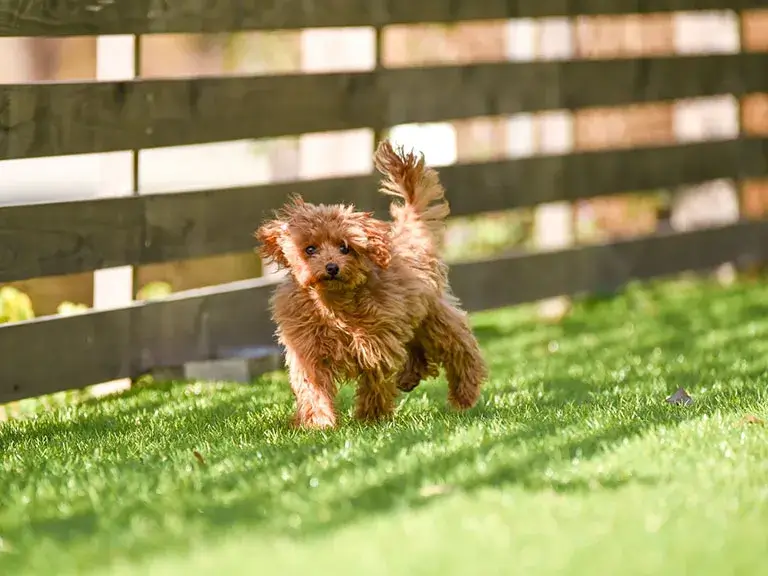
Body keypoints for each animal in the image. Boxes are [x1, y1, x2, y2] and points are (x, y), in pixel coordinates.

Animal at [256, 140, 486, 428]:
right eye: (310, 249)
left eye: (345, 247)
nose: (332, 267)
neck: (333, 305)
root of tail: (408, 236)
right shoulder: (308, 350)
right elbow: (313, 387)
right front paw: (318, 422)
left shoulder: (376, 345)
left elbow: (375, 383)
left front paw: (370, 418)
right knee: (420, 349)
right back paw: (409, 377)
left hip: (434, 318)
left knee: (461, 348)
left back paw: (465, 394)